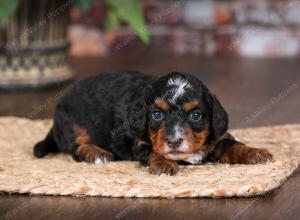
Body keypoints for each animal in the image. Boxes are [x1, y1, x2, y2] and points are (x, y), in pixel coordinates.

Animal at [34, 72, 274, 175]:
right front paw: (165, 163)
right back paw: (96, 153)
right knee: (75, 147)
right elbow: (154, 150)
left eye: (196, 115)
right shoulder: (139, 142)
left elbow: (234, 145)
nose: (175, 142)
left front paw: (256, 153)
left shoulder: (217, 137)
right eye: (157, 114)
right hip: (74, 124)